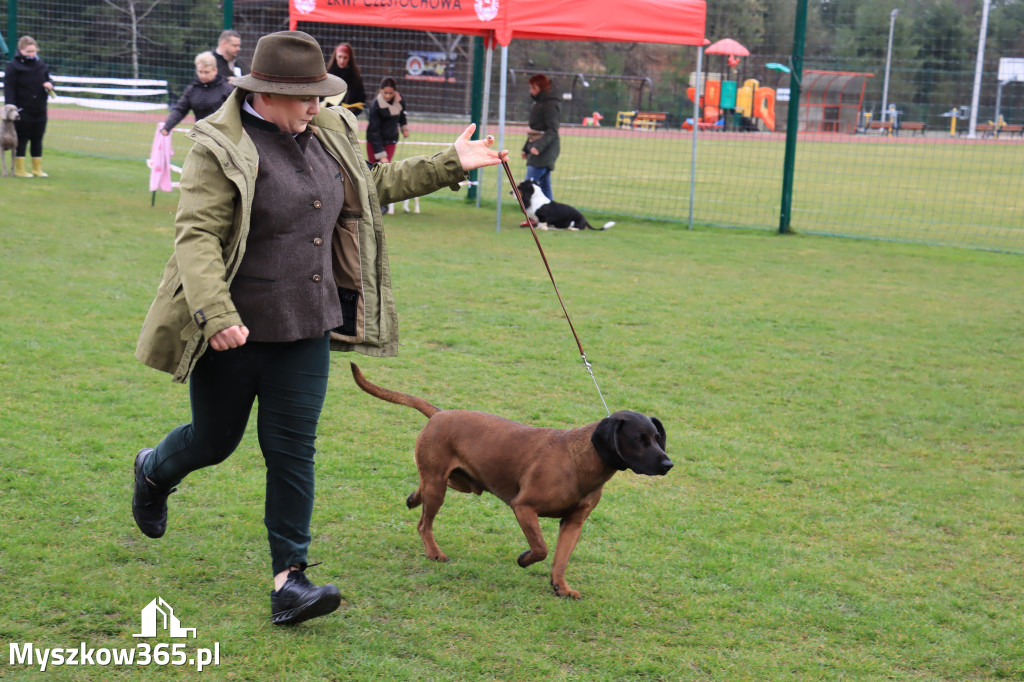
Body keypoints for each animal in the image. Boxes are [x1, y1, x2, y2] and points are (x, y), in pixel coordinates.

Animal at [352, 360, 671, 593]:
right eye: (639, 439)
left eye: (657, 438)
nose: (668, 464)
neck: (580, 461)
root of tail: (439, 414)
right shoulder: (524, 507)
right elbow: (541, 548)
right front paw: (524, 559)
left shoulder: (573, 523)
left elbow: (560, 559)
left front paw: (561, 587)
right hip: (439, 488)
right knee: (423, 524)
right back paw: (433, 552)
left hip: (455, 482)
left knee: (423, 489)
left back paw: (413, 499)